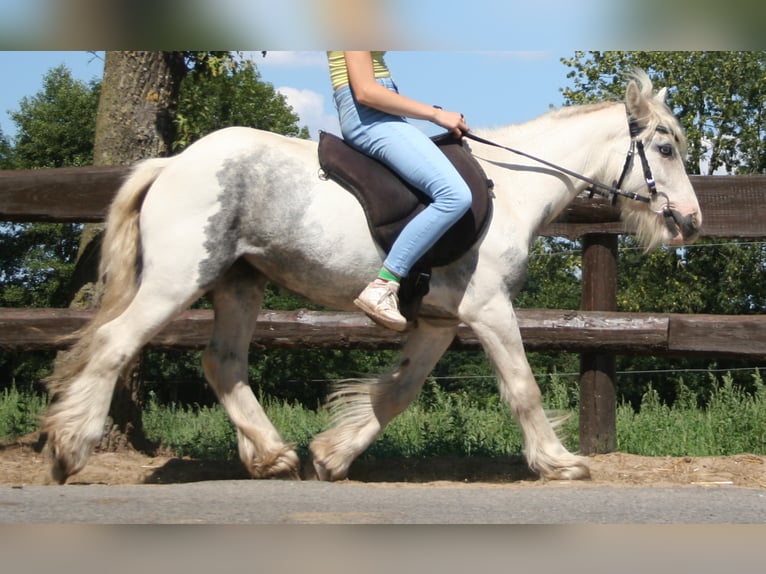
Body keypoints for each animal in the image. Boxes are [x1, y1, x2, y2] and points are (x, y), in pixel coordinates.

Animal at [42, 72, 704, 486]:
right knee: (115, 343)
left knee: (222, 362)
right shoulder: (488, 308)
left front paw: (332, 456)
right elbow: (522, 387)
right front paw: (560, 462)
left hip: (239, 283)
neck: (513, 188)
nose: (692, 222)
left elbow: (398, 391)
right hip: (178, 279)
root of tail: (172, 162)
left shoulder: (439, 320)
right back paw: (70, 449)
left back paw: (273, 456)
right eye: (666, 148)